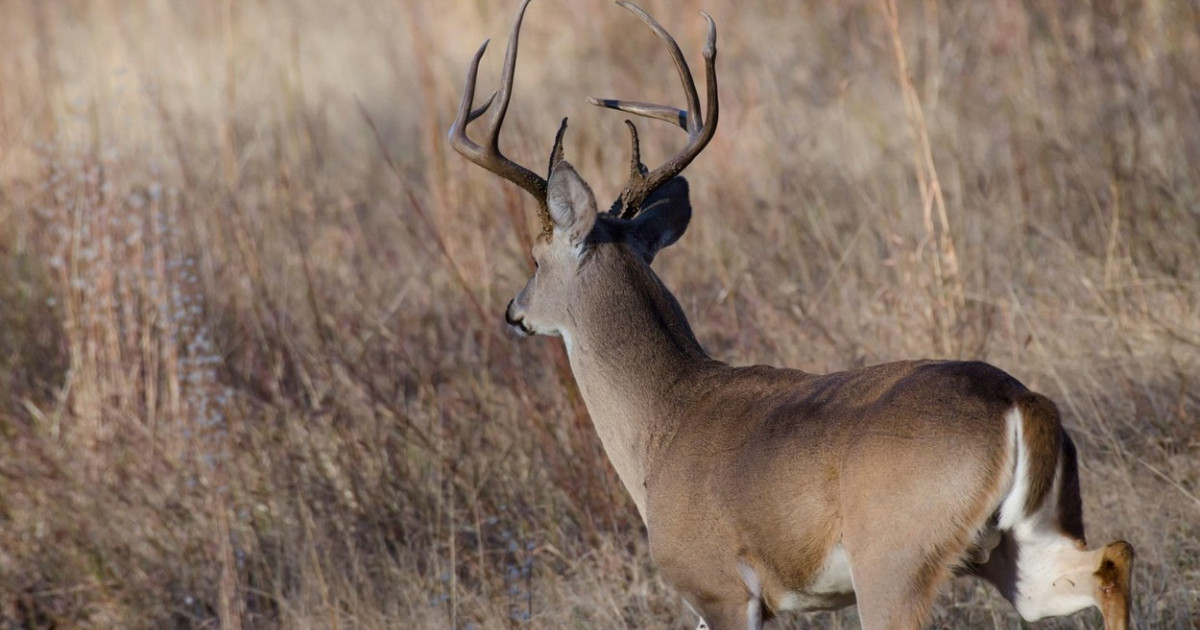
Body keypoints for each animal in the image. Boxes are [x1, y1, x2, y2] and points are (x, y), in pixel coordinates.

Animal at [448, 2, 1132, 624]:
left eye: (536, 256)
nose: (512, 310)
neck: (661, 425)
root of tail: (1020, 402)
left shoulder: (718, 586)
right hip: (1021, 547)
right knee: (1111, 560)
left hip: (894, 561)